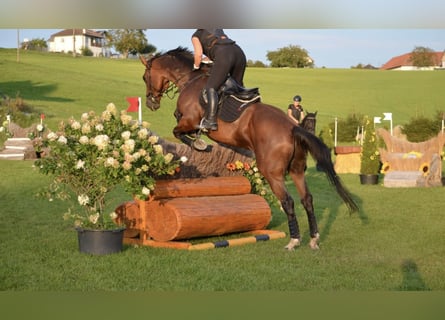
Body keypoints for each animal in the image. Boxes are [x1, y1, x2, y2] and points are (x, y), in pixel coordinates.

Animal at [139, 48, 358, 252]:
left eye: (144, 77)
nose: (150, 102)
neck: (191, 80)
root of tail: (292, 127)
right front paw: (197, 141)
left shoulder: (189, 120)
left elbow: (178, 130)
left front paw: (199, 144)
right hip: (296, 170)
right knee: (307, 199)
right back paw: (313, 239)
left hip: (271, 172)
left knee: (288, 201)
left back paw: (293, 241)